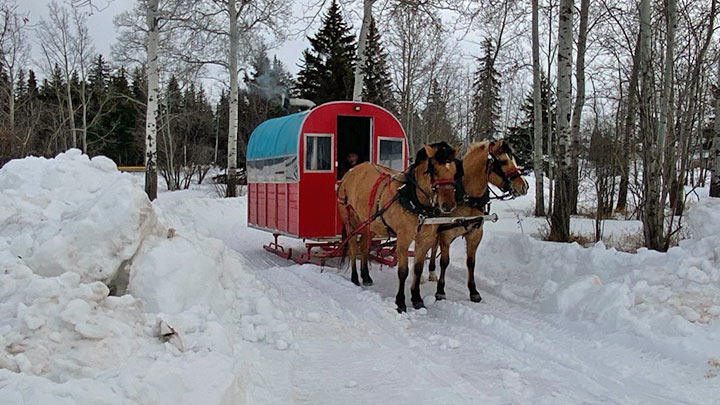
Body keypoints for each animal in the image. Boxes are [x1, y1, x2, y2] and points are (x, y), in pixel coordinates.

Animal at [337, 142, 460, 312]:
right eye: (434, 170)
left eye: (455, 171)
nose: (448, 205)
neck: (413, 199)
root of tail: (351, 172)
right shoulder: (403, 238)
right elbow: (403, 271)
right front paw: (400, 303)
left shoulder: (424, 240)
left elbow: (417, 269)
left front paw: (417, 299)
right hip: (351, 219)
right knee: (353, 246)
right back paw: (355, 278)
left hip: (369, 223)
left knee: (364, 245)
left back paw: (366, 276)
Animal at [428, 140, 529, 302]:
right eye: (504, 161)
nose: (524, 186)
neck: (467, 196)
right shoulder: (446, 234)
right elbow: (444, 261)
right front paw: (440, 290)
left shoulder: (475, 233)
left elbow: (471, 262)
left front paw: (473, 291)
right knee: (432, 246)